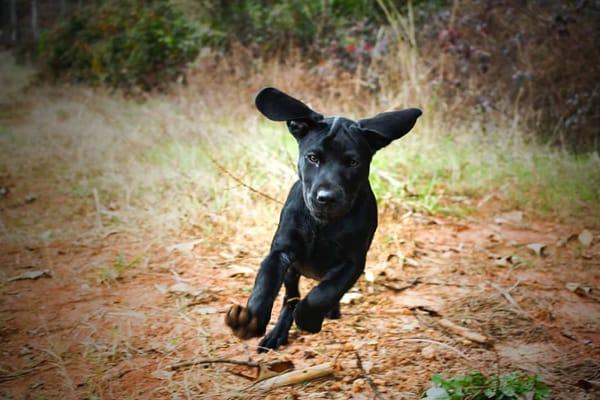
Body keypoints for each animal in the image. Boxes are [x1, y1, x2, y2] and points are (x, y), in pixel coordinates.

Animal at [225, 86, 422, 350]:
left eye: (353, 162)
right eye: (313, 158)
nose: (326, 198)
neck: (323, 225)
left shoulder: (353, 262)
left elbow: (323, 293)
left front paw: (308, 318)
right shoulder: (281, 252)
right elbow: (265, 283)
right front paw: (250, 320)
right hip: (292, 272)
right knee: (290, 297)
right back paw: (278, 332)